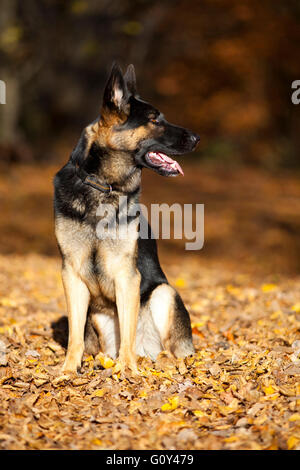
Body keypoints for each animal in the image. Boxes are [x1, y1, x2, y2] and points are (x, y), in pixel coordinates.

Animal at [54, 63, 199, 374]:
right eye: (155, 120)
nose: (197, 138)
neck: (103, 186)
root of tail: (149, 351)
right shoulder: (71, 274)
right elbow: (75, 335)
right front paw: (69, 370)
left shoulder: (127, 275)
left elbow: (128, 331)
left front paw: (127, 370)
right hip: (99, 315)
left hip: (164, 294)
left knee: (169, 351)